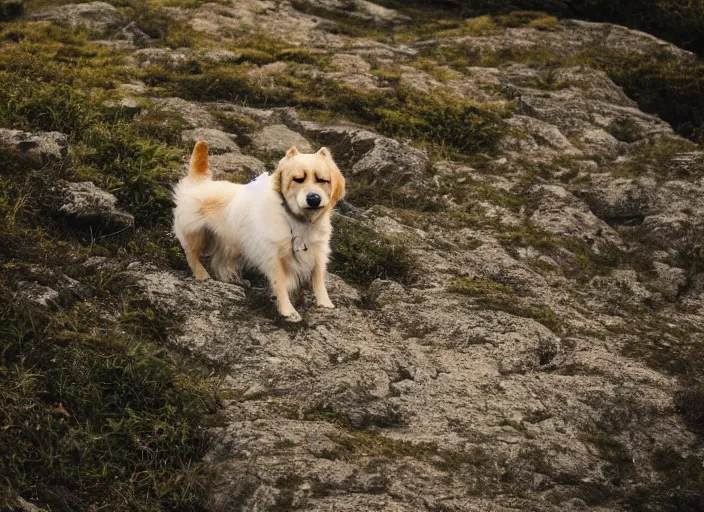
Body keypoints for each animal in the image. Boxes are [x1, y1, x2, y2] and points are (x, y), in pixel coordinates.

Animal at [172, 141, 346, 320]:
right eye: (298, 179)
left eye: (323, 180)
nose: (313, 199)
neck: (299, 220)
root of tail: (199, 182)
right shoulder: (273, 255)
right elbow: (280, 283)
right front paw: (288, 310)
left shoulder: (318, 250)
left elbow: (318, 278)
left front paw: (325, 303)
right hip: (195, 233)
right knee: (192, 255)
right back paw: (202, 275)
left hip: (231, 242)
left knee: (221, 261)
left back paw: (234, 279)